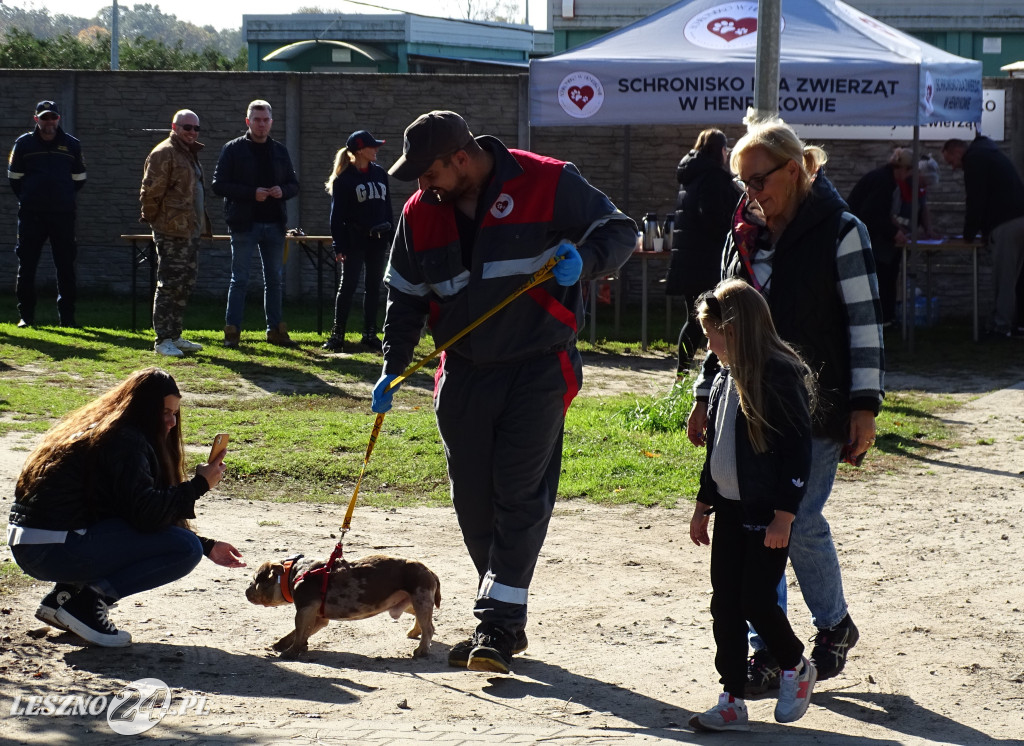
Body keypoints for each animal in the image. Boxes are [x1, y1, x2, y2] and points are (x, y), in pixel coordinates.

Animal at [248, 552, 444, 659]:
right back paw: (414, 632)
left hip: (420, 598)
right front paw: (282, 644)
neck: (292, 573)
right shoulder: (317, 617)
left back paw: (421, 649)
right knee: (423, 621)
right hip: (410, 601)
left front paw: (291, 652)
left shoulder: (304, 610)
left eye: (255, 579)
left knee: (429, 628)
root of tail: (430, 571)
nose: (246, 590)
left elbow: (299, 632)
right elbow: (298, 633)